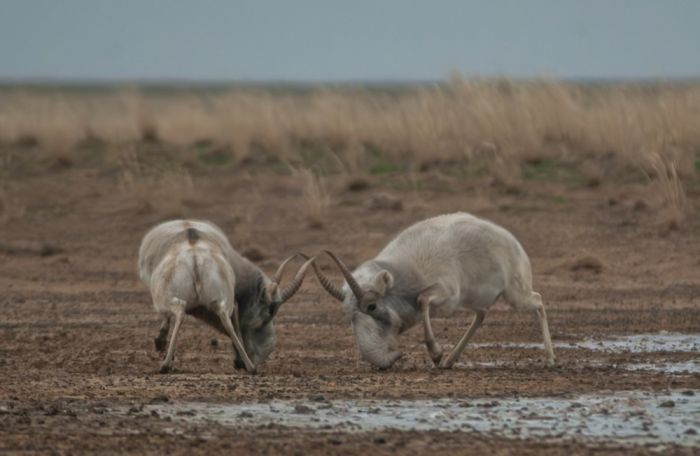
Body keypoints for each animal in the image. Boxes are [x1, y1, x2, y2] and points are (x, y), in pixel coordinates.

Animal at [139, 220, 314, 374]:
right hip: (223, 298)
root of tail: (195, 253)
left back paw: (165, 364)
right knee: (226, 318)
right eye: (268, 316)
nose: (263, 354)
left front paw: (160, 343)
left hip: (162, 299)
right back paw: (250, 367)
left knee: (180, 311)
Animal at [308, 214, 556, 370]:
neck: (405, 271)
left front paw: (436, 354)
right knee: (481, 315)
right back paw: (450, 361)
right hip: (476, 299)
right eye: (348, 312)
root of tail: (513, 241)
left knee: (539, 300)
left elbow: (423, 298)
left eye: (371, 306)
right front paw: (440, 358)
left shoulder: (447, 294)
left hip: (516, 295)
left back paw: (551, 358)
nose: (384, 361)